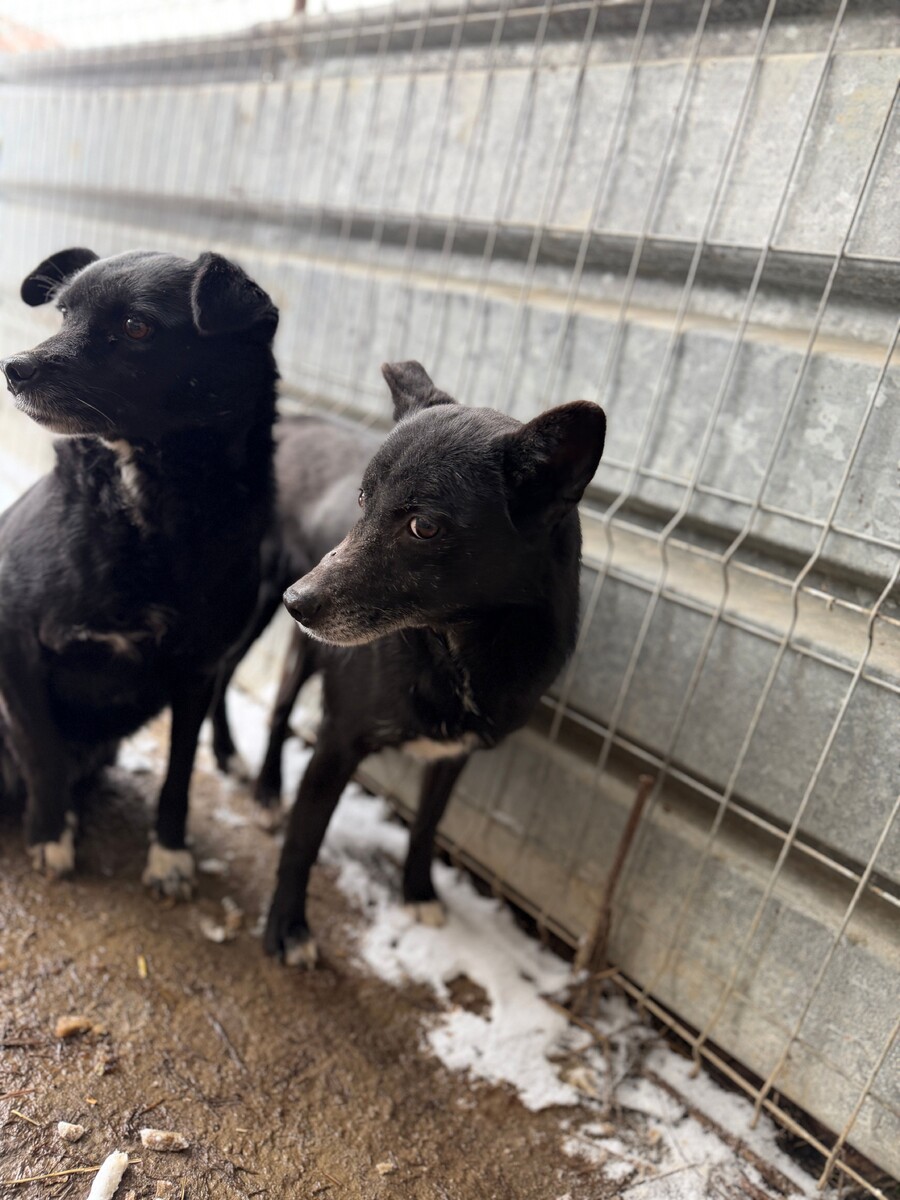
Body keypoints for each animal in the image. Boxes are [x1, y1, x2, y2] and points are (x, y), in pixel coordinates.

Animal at [0, 246, 278, 895]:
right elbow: (40, 745)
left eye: (136, 327)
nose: (13, 369)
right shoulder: (14, 640)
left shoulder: (199, 672)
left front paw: (170, 854)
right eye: (63, 313)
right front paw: (50, 835)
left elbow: (179, 774)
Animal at [261, 360, 606, 966]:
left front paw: (418, 892)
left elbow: (427, 824)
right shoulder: (338, 741)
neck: (453, 651)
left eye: (423, 527)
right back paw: (262, 790)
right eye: (362, 500)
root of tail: (293, 421)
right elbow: (304, 840)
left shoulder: (455, 755)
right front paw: (286, 928)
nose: (295, 602)